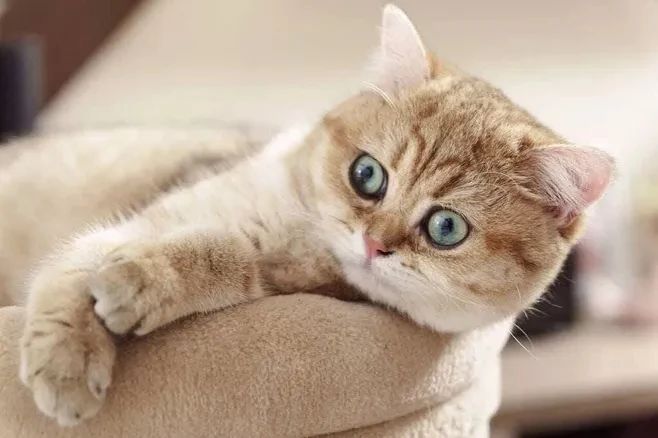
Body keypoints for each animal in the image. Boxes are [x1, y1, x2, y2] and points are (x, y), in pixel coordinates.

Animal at [14, 5, 613, 426]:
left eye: (446, 228)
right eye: (367, 175)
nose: (374, 243)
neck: (293, 231)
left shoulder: (279, 281)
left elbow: (221, 258)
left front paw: (139, 281)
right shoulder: (156, 212)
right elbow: (73, 269)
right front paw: (68, 358)